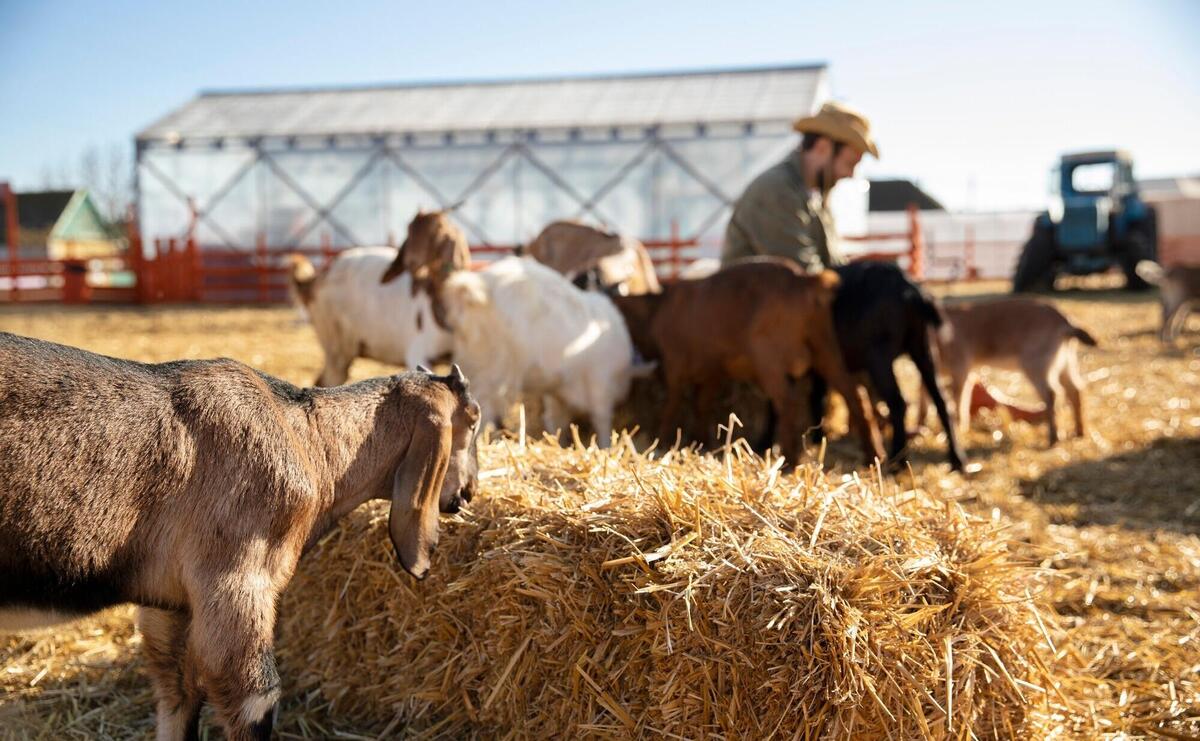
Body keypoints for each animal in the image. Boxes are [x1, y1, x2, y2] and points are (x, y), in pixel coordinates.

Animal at [0, 330, 477, 733]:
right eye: (472, 423)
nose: (469, 491)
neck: (310, 441)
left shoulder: (170, 605)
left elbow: (178, 696)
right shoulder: (235, 580)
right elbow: (255, 701)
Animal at [619, 257, 883, 460]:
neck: (658, 310)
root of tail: (804, 281)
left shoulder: (675, 365)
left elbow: (672, 405)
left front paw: (663, 442)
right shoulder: (713, 372)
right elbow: (702, 404)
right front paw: (701, 442)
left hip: (768, 357)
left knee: (787, 401)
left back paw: (789, 460)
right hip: (826, 348)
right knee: (855, 395)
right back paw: (874, 455)